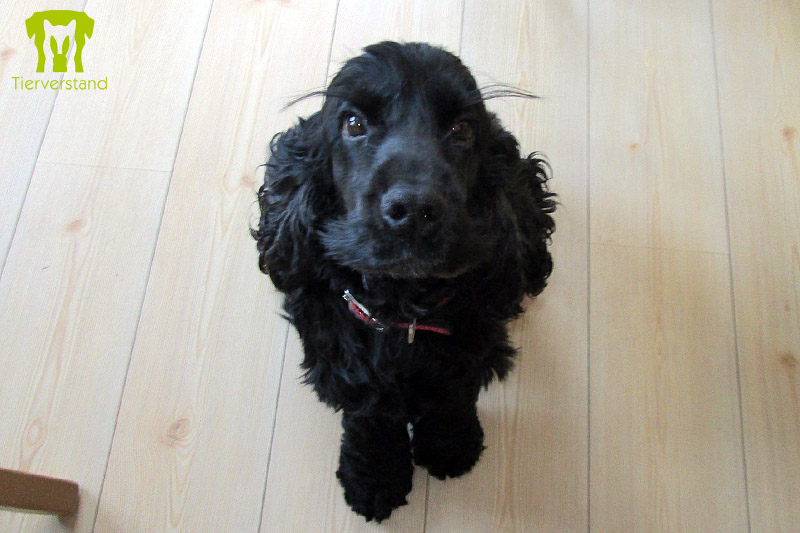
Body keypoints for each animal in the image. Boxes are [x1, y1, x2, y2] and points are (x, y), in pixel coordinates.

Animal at [253, 40, 552, 520]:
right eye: (353, 123)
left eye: (463, 128)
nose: (413, 210)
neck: (404, 308)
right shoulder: (344, 363)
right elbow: (369, 421)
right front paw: (373, 479)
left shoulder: (470, 350)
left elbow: (453, 397)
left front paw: (452, 446)